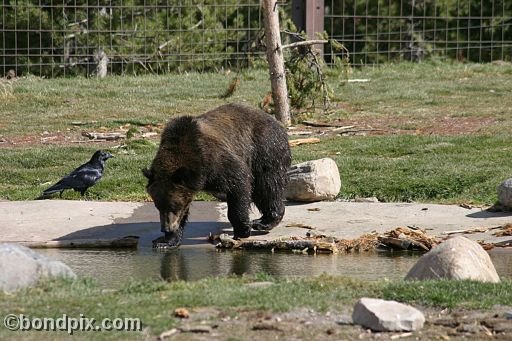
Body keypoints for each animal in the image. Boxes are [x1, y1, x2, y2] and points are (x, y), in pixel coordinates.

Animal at [144, 102, 290, 246]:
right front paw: (166, 240)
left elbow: (238, 182)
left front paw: (242, 230)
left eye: (174, 206)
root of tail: (276, 122)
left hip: (264, 149)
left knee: (267, 186)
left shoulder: (215, 160)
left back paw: (264, 222)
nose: (166, 228)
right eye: (158, 206)